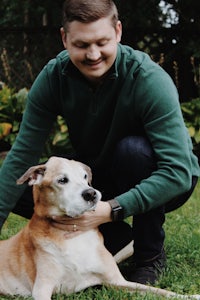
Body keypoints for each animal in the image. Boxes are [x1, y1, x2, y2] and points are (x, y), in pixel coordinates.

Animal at [0, 157, 199, 300]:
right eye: (62, 180)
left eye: (84, 177)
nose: (91, 193)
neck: (74, 236)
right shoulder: (42, 289)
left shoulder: (118, 281)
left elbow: (162, 292)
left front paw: (190, 295)